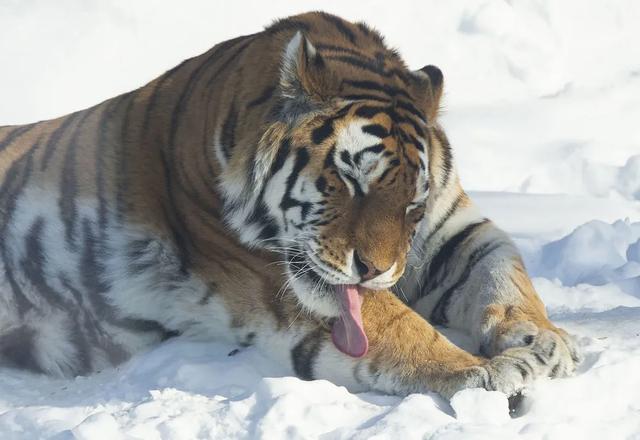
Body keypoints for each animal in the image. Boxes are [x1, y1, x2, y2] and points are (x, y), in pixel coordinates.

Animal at [0, 12, 580, 400]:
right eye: (350, 179)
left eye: (413, 204)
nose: (373, 270)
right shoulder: (261, 272)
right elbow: (396, 322)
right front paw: (489, 372)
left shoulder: (455, 231)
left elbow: (504, 272)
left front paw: (546, 342)